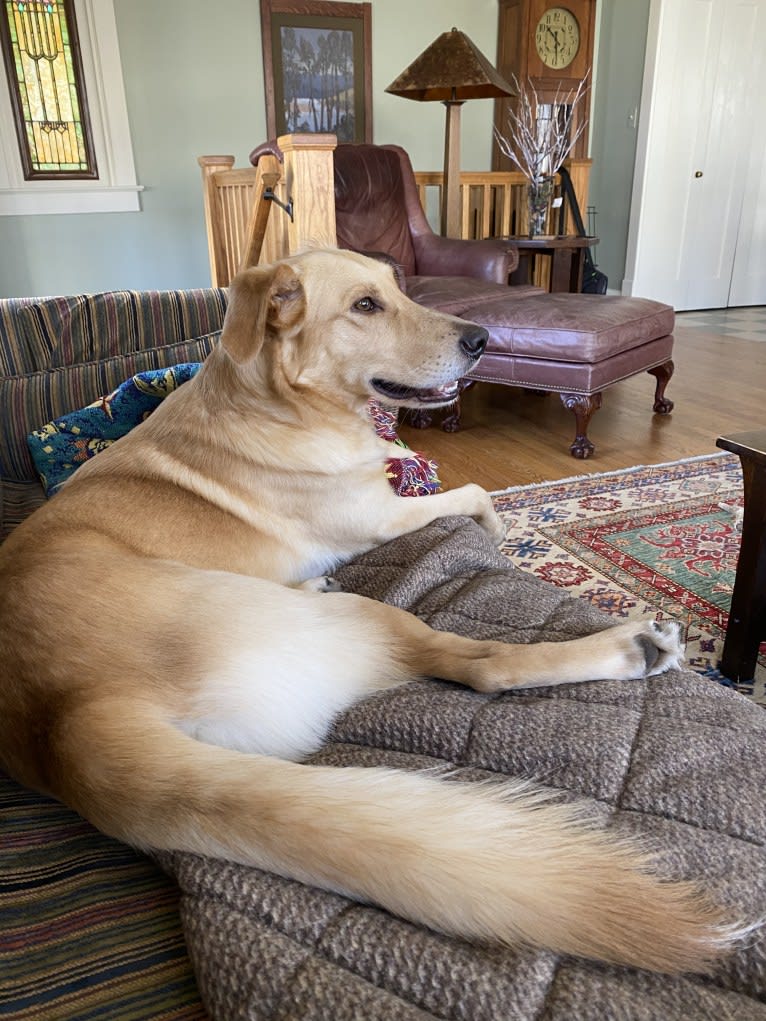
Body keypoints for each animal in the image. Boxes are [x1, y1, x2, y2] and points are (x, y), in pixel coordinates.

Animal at [0, 247, 747, 971]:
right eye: (365, 305)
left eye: (398, 287)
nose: (483, 339)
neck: (284, 402)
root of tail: (66, 723)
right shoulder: (381, 515)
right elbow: (478, 494)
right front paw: (506, 532)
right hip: (375, 618)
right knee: (481, 662)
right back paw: (634, 646)